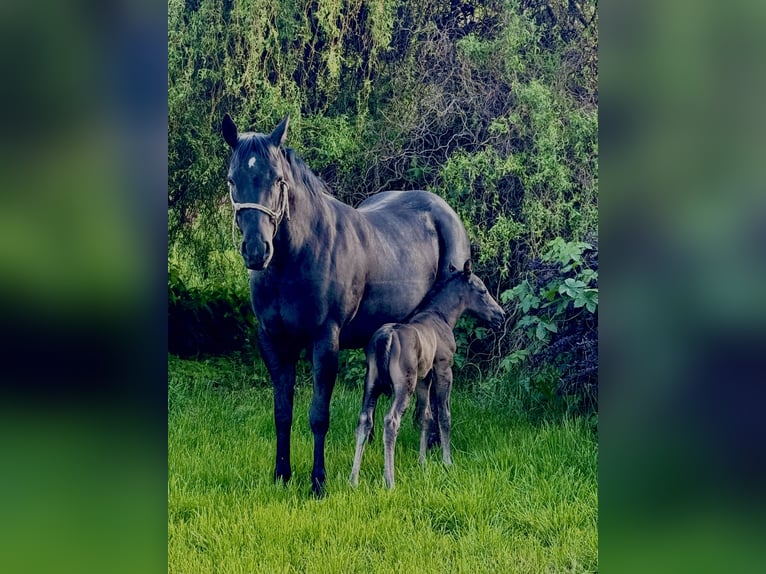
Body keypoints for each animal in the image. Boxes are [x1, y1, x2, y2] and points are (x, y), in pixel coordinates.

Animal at [221, 113, 471, 495]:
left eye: (278, 179)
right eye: (232, 179)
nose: (256, 250)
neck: (295, 258)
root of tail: (444, 211)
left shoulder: (325, 341)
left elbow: (318, 415)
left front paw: (318, 482)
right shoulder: (274, 341)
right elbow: (282, 411)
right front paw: (282, 474)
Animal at [349, 260, 505, 488]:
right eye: (482, 290)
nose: (501, 315)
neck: (442, 317)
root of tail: (386, 337)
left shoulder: (424, 378)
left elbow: (425, 415)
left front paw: (422, 461)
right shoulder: (443, 369)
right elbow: (443, 414)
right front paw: (447, 461)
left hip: (371, 383)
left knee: (364, 421)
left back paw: (353, 479)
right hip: (404, 385)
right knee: (391, 421)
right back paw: (390, 480)